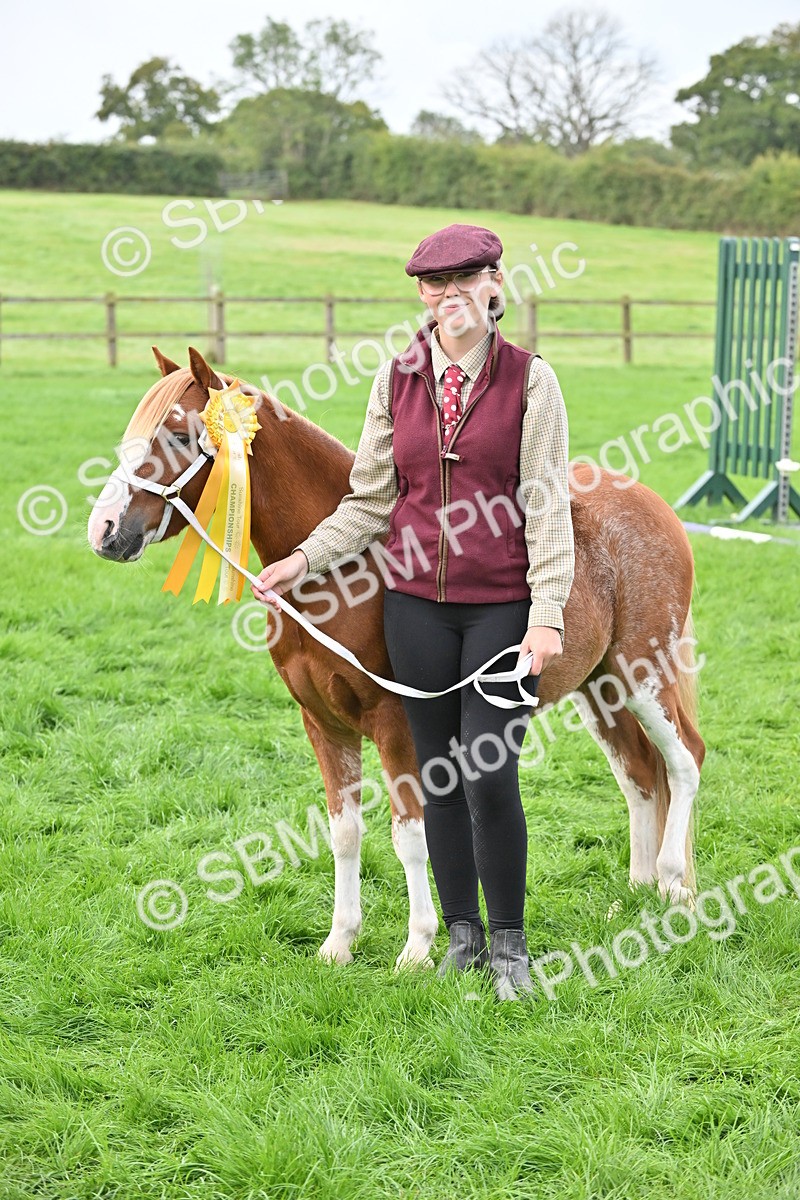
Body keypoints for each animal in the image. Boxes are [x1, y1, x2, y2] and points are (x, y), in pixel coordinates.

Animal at [87, 346, 705, 970]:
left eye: (180, 435)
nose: (104, 530)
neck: (344, 575)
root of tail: (654, 507)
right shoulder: (324, 724)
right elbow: (344, 834)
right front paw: (339, 943)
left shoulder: (396, 725)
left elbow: (409, 834)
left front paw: (418, 948)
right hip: (600, 689)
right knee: (640, 772)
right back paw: (638, 890)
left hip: (644, 675)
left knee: (685, 759)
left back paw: (675, 885)